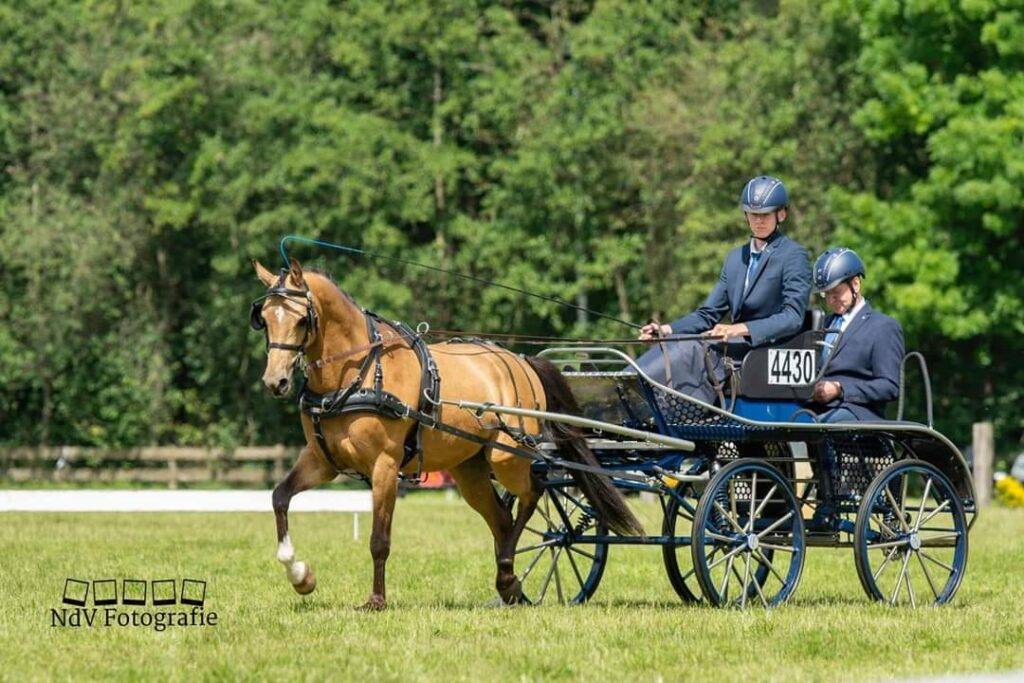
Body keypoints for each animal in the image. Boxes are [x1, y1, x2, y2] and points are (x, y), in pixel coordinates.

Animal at [251, 259, 643, 610]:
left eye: (301, 320)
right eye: (265, 319)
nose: (275, 381)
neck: (358, 370)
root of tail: (523, 361)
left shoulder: (384, 464)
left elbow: (379, 539)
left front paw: (376, 600)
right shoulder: (322, 460)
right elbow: (280, 497)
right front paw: (301, 576)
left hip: (507, 456)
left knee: (532, 495)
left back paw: (510, 575)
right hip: (470, 469)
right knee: (501, 518)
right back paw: (508, 583)